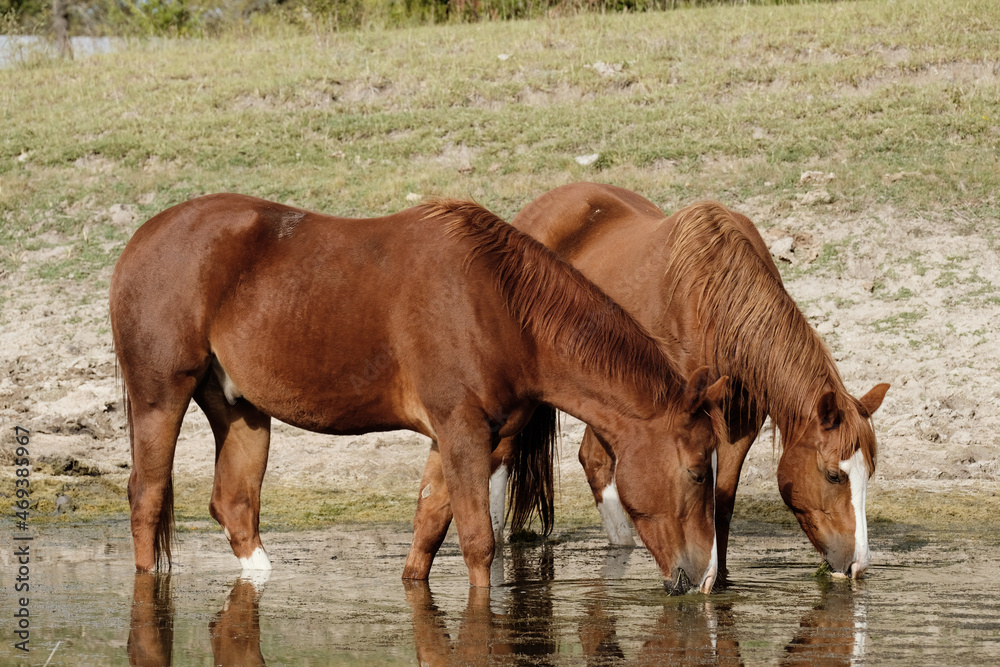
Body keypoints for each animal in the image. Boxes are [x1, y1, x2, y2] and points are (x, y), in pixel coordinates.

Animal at [110, 194, 728, 592]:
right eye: (698, 471)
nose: (704, 577)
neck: (499, 309)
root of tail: (142, 238)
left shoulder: (467, 439)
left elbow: (429, 531)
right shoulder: (462, 433)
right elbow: (478, 543)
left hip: (241, 410)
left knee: (234, 504)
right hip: (160, 397)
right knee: (147, 497)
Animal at [407, 183, 888, 580]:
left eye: (868, 473)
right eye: (834, 475)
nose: (858, 565)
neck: (714, 301)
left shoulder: (736, 427)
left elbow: (720, 503)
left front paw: (719, 578)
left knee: (595, 461)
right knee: (505, 463)